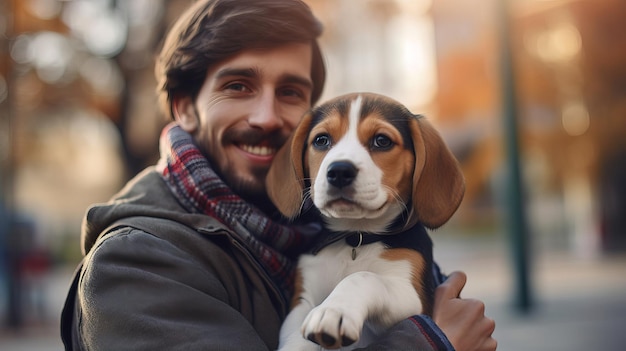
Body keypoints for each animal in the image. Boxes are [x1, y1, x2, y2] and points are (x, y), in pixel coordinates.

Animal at [264, 92, 464, 350]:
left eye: (382, 141)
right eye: (321, 140)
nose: (339, 171)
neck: (354, 237)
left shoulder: (415, 299)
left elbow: (364, 278)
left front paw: (333, 311)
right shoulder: (302, 301)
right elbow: (296, 340)